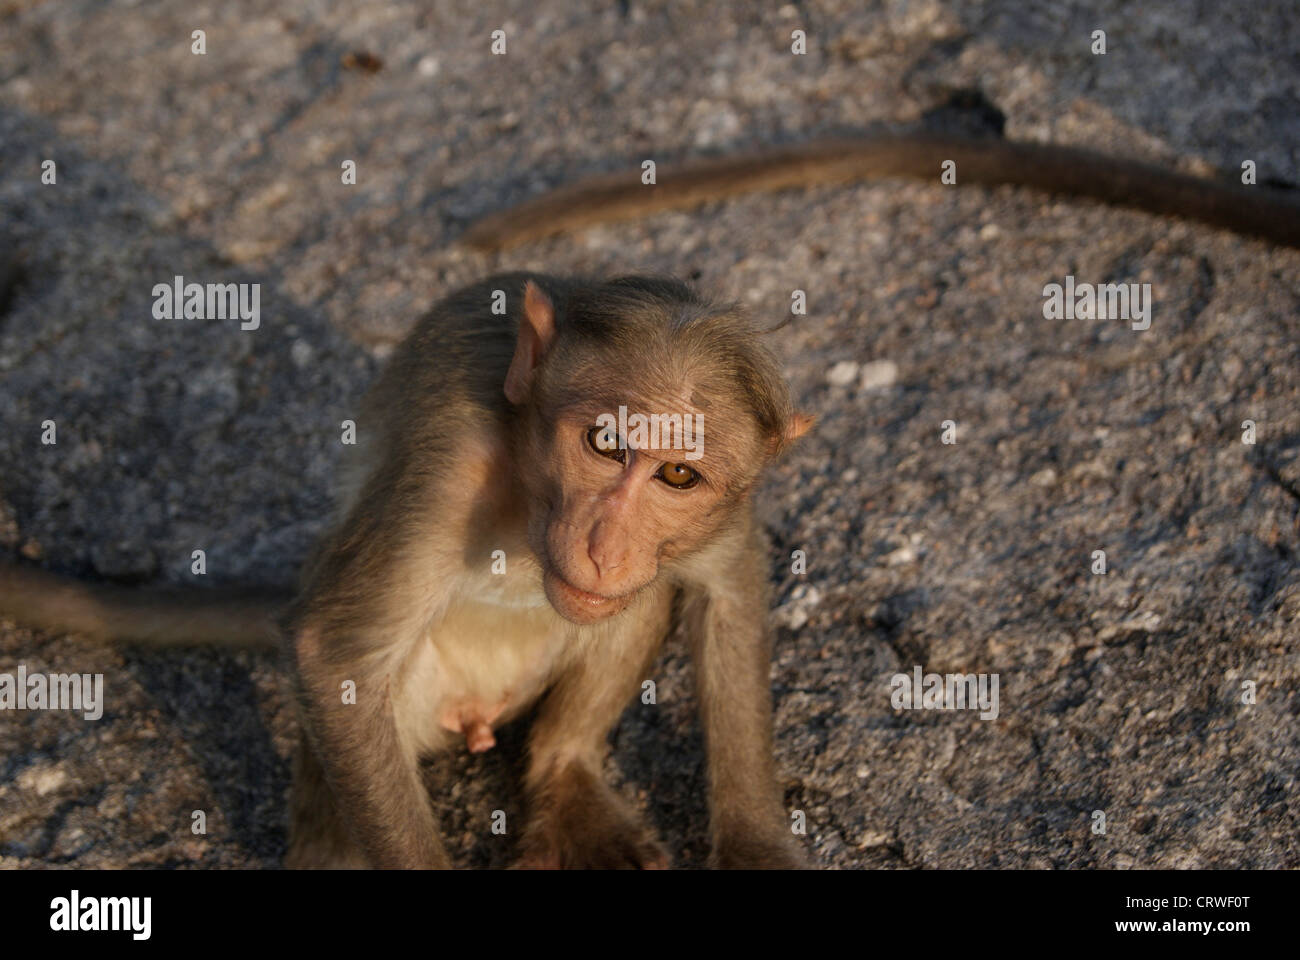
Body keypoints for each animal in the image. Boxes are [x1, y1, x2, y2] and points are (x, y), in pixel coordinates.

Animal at [284, 270, 811, 868]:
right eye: (606, 443)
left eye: (679, 475)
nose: (606, 549)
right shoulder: (448, 470)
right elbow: (333, 658)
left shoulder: (728, 508)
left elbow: (728, 593)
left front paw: (756, 845)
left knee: (645, 599)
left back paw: (565, 774)